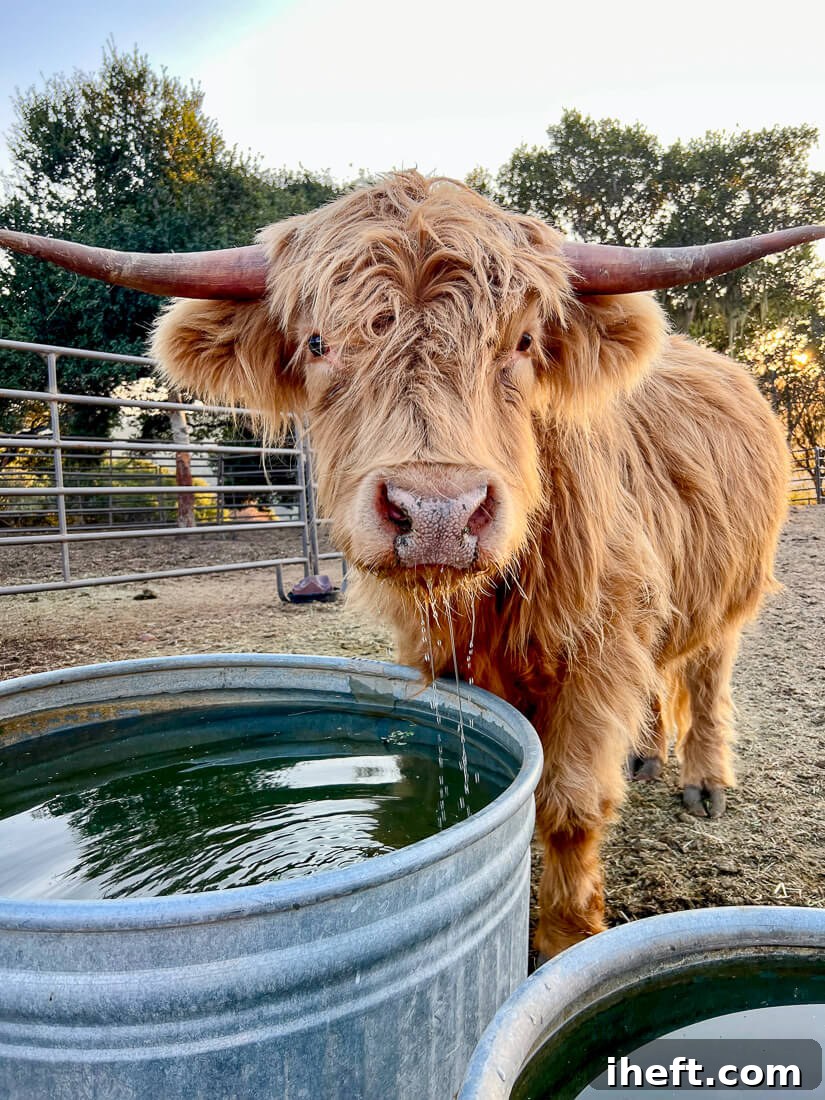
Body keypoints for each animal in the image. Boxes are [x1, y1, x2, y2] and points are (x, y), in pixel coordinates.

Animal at [2, 172, 821, 959]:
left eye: (523, 340)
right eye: (318, 342)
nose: (437, 513)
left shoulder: (600, 648)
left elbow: (569, 805)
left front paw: (564, 936)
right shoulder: (440, 655)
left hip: (730, 595)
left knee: (706, 678)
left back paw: (704, 783)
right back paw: (647, 758)